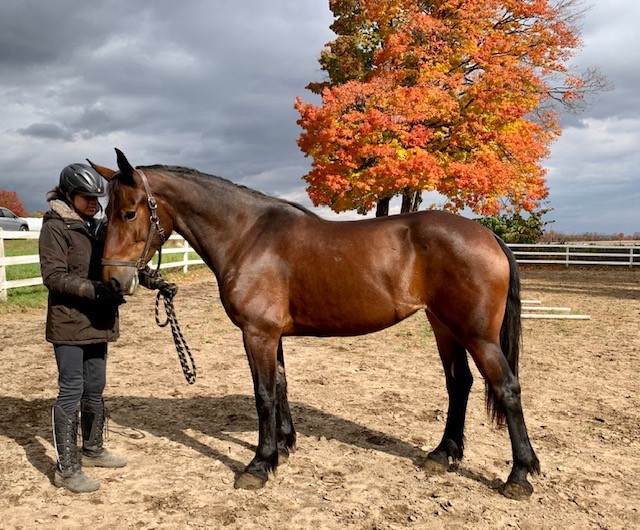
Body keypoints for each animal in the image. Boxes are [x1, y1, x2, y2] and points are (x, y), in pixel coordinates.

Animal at [90, 148, 540, 499]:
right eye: (103, 215)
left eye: (128, 213)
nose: (113, 281)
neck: (247, 235)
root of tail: (488, 236)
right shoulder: (272, 334)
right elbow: (281, 385)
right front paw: (285, 446)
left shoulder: (258, 334)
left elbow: (264, 395)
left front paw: (259, 465)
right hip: (444, 326)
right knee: (458, 383)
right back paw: (442, 455)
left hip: (477, 335)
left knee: (507, 388)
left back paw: (519, 475)